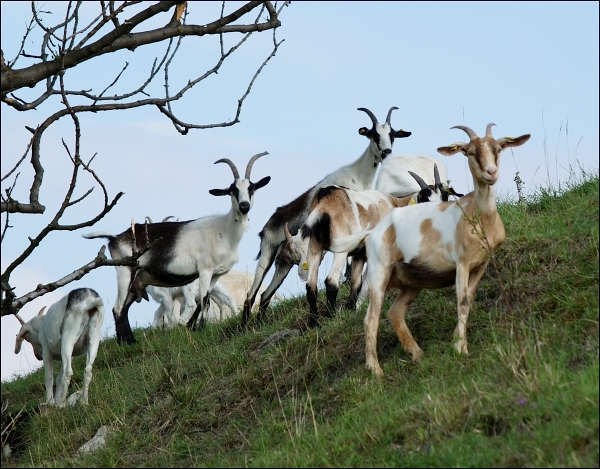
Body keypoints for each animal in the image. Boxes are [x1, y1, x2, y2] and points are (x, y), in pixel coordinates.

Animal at [83, 152, 270, 342]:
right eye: (233, 190)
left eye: (252, 188)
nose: (244, 206)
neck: (224, 231)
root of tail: (115, 237)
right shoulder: (204, 270)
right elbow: (203, 300)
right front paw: (199, 328)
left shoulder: (216, 274)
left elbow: (204, 301)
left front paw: (192, 327)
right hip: (125, 271)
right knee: (118, 308)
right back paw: (124, 343)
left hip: (137, 281)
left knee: (125, 307)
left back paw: (131, 342)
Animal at [241, 106, 410, 326]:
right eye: (374, 134)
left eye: (392, 135)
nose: (386, 152)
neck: (357, 175)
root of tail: (268, 225)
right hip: (267, 255)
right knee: (251, 294)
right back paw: (242, 328)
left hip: (284, 264)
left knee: (265, 295)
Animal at [286, 165, 460, 326]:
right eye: (425, 200)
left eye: (445, 197)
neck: (395, 204)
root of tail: (325, 200)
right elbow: (367, 283)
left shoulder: (359, 254)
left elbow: (356, 283)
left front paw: (351, 309)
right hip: (340, 250)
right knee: (331, 281)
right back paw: (330, 317)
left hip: (315, 248)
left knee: (311, 285)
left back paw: (314, 323)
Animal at [328, 122, 528, 374]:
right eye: (469, 152)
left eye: (498, 149)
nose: (491, 173)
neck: (477, 215)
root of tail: (372, 233)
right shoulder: (461, 264)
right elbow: (462, 302)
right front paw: (460, 349)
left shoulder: (480, 265)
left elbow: (469, 299)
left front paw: (456, 341)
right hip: (379, 276)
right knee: (371, 318)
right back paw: (376, 370)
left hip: (411, 283)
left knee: (394, 313)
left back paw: (418, 354)